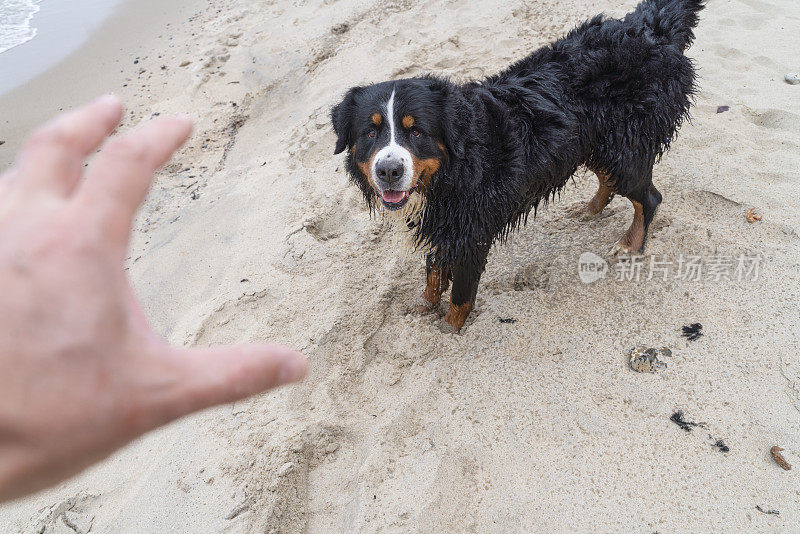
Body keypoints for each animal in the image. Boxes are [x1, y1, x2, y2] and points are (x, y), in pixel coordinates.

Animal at [328, 0, 704, 332]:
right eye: (371, 132)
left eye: (416, 131)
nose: (389, 171)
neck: (454, 171)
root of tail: (650, 28)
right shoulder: (443, 225)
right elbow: (434, 273)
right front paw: (423, 307)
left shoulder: (471, 232)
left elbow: (460, 296)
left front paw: (448, 331)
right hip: (595, 145)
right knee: (611, 182)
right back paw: (589, 210)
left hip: (624, 149)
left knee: (648, 199)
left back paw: (630, 245)